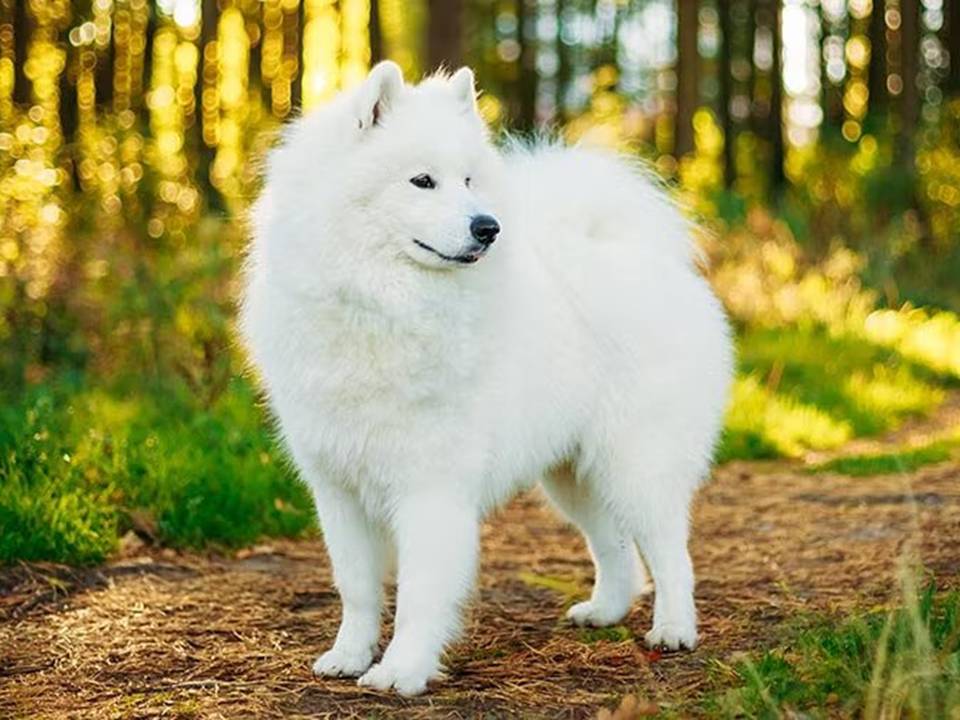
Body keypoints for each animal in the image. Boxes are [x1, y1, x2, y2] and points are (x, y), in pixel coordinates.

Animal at [238, 62, 728, 696]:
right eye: (423, 181)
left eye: (469, 180)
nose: (488, 226)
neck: (381, 300)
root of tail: (647, 261)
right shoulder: (338, 487)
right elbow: (358, 587)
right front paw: (348, 655)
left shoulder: (429, 486)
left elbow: (420, 593)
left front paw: (401, 670)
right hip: (573, 475)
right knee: (616, 548)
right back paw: (605, 611)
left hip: (636, 463)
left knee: (672, 554)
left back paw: (674, 630)